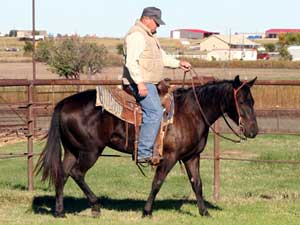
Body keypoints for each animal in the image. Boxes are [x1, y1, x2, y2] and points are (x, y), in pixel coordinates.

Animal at [35, 74, 258, 217]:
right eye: (241, 100)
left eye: (252, 100)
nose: (253, 130)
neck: (191, 112)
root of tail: (63, 103)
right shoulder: (169, 157)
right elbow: (157, 182)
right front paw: (147, 211)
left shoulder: (191, 157)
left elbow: (197, 184)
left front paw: (204, 212)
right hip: (90, 151)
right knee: (77, 173)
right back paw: (96, 207)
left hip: (72, 151)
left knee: (62, 175)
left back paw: (60, 212)